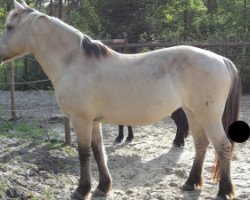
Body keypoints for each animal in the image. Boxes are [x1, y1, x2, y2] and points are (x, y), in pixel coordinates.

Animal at [0, 1, 241, 198]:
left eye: (9, 27)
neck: (74, 63)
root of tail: (221, 59)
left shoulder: (81, 120)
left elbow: (84, 153)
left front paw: (82, 190)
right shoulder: (93, 122)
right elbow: (99, 152)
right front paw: (102, 187)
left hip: (209, 115)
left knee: (223, 146)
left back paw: (224, 191)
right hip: (193, 113)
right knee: (201, 144)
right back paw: (191, 183)